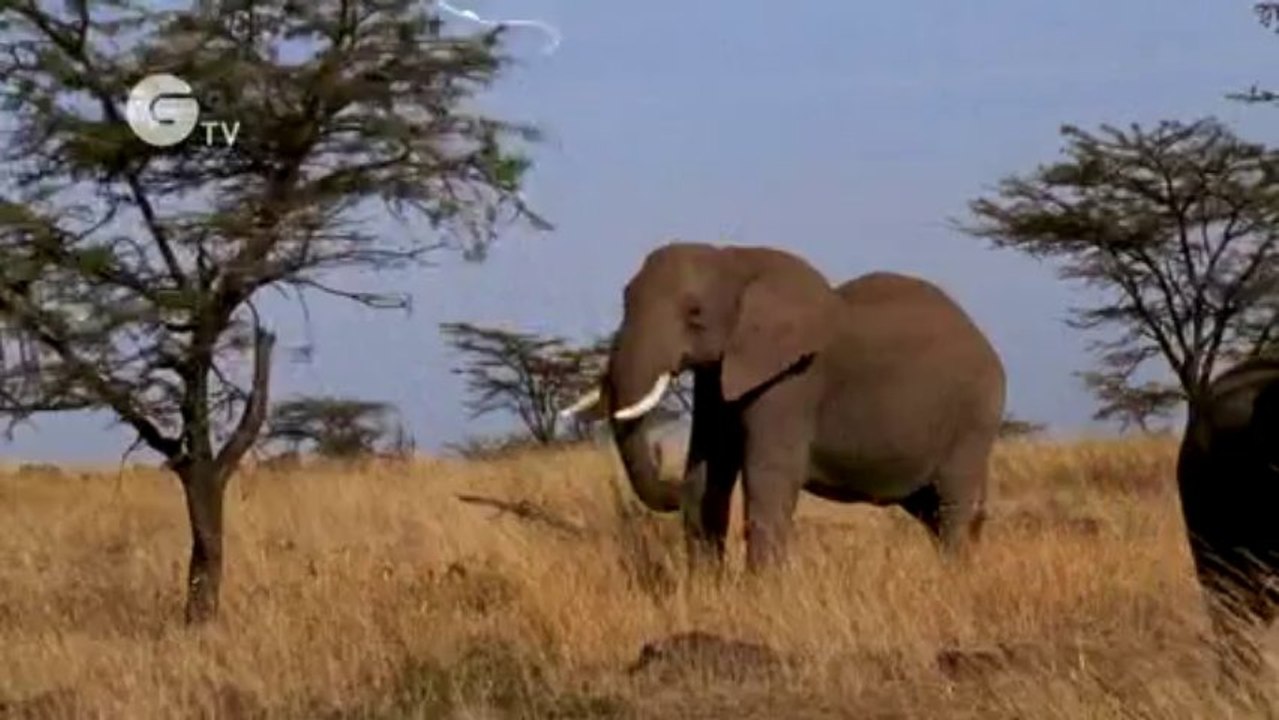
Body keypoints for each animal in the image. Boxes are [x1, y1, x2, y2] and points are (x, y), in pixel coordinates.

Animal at [562, 241, 1007, 570]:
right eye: (624, 300)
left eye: (694, 313)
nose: (667, 484)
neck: (735, 259)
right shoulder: (718, 375)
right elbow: (707, 470)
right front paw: (705, 590)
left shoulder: (792, 380)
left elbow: (769, 476)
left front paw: (759, 597)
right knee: (931, 508)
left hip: (975, 415)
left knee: (951, 504)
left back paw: (954, 577)